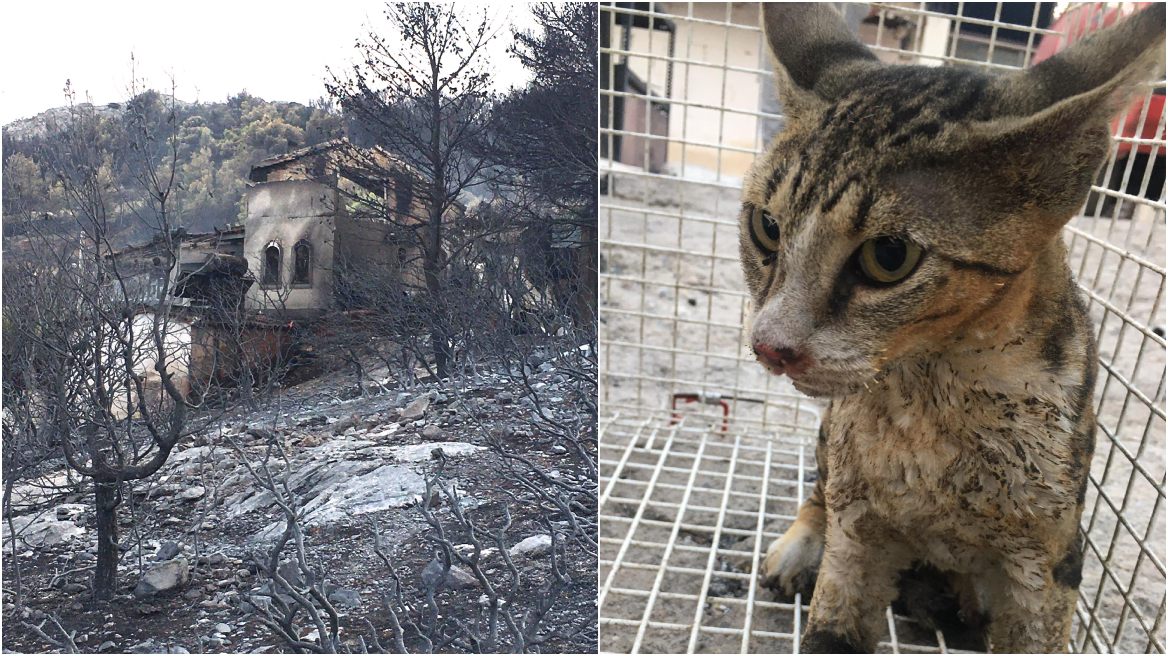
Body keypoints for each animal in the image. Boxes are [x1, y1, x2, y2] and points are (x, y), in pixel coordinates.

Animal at [738, 3, 1168, 648]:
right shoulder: (858, 528)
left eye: (889, 256)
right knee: (820, 488)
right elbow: (832, 619)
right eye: (765, 227)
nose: (770, 346)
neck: (932, 397)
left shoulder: (1050, 558)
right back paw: (805, 548)